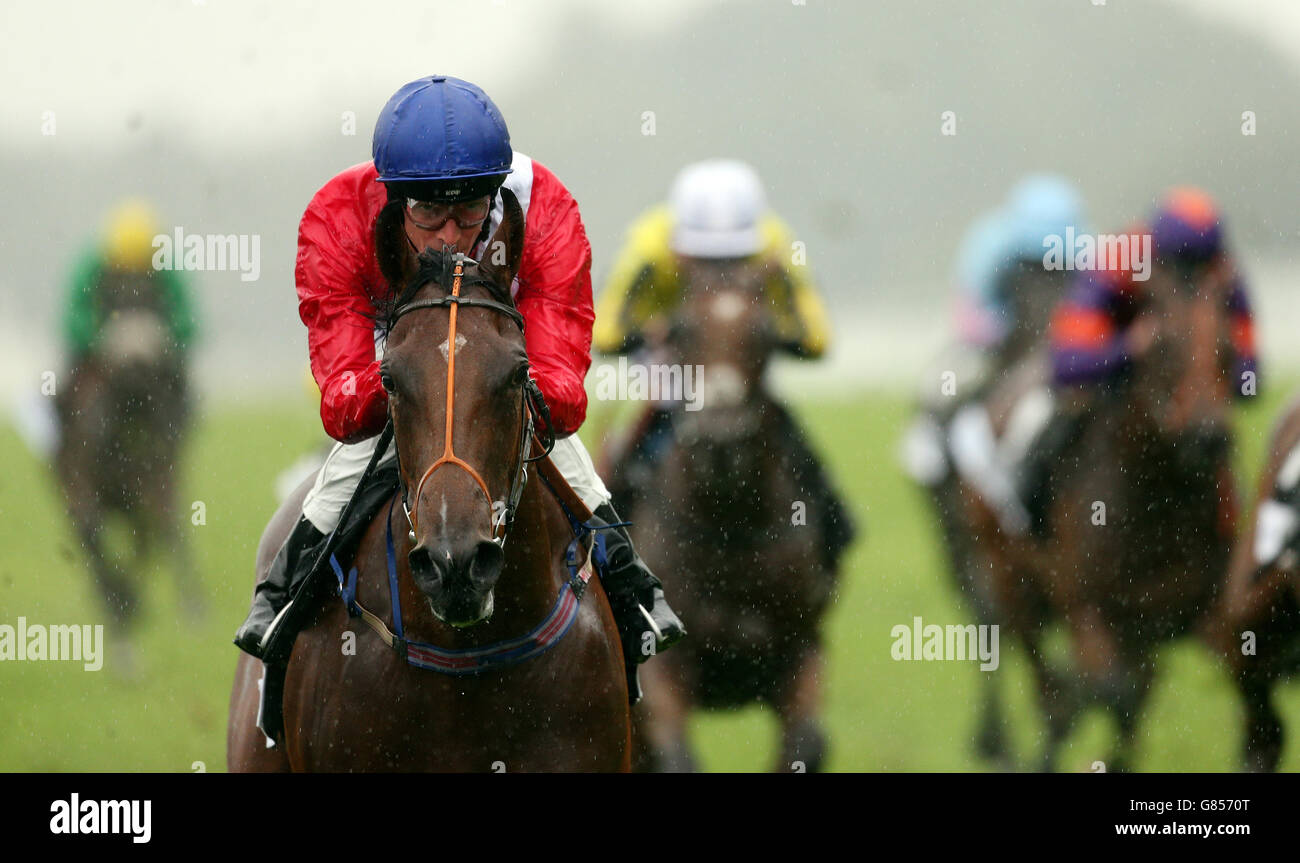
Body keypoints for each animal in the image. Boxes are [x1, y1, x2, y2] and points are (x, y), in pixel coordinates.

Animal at [54, 271, 196, 639]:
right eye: (109, 304)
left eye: (155, 303)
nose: (134, 364)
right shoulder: (80, 480)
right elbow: (91, 534)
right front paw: (118, 608)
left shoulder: (153, 477)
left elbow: (148, 537)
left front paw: (130, 602)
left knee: (161, 531)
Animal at [624, 259, 837, 769]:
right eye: (682, 329)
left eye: (764, 333)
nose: (720, 444)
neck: (730, 526)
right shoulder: (663, 660)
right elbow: (677, 753)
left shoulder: (801, 647)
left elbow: (806, 743)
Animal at [967, 262, 1237, 769]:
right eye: (1164, 345)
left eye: (1228, 348)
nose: (1208, 437)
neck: (1153, 502)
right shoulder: (1088, 607)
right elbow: (1112, 691)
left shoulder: (1190, 609)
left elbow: (1134, 697)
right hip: (1007, 570)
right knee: (1032, 660)